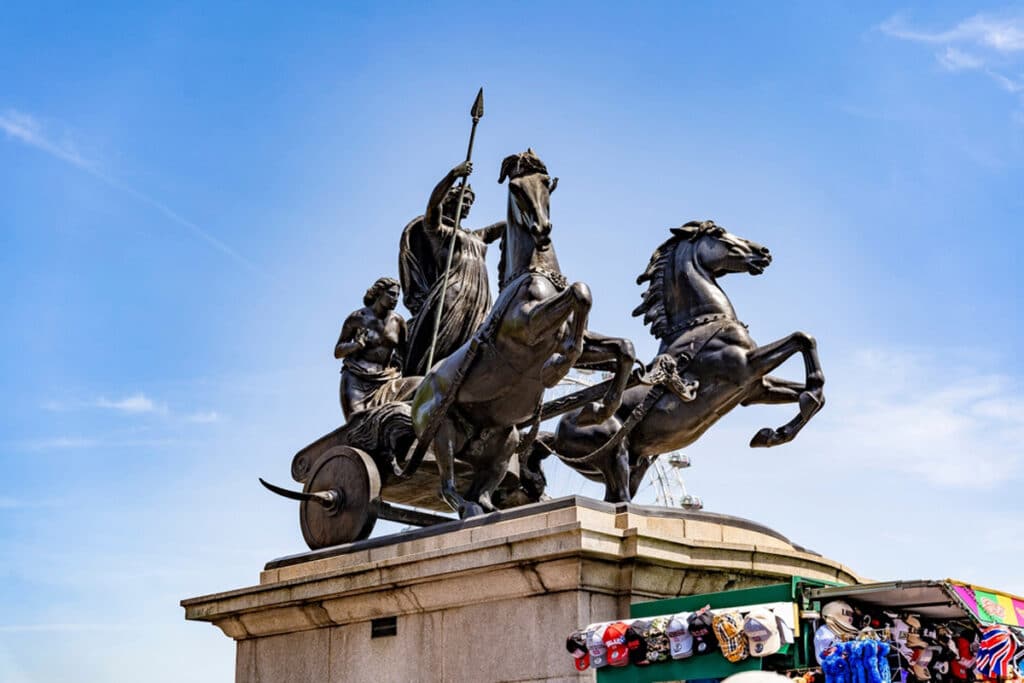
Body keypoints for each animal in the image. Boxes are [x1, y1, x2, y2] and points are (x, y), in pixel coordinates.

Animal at [411, 150, 634, 518]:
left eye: (546, 183)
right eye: (515, 188)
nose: (542, 229)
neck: (534, 274)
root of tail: (417, 393)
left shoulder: (571, 337)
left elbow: (621, 345)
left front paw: (603, 408)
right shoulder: (528, 328)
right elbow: (580, 293)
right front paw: (554, 371)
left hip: (504, 439)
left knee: (483, 487)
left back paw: (491, 508)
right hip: (442, 434)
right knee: (448, 486)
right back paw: (469, 510)